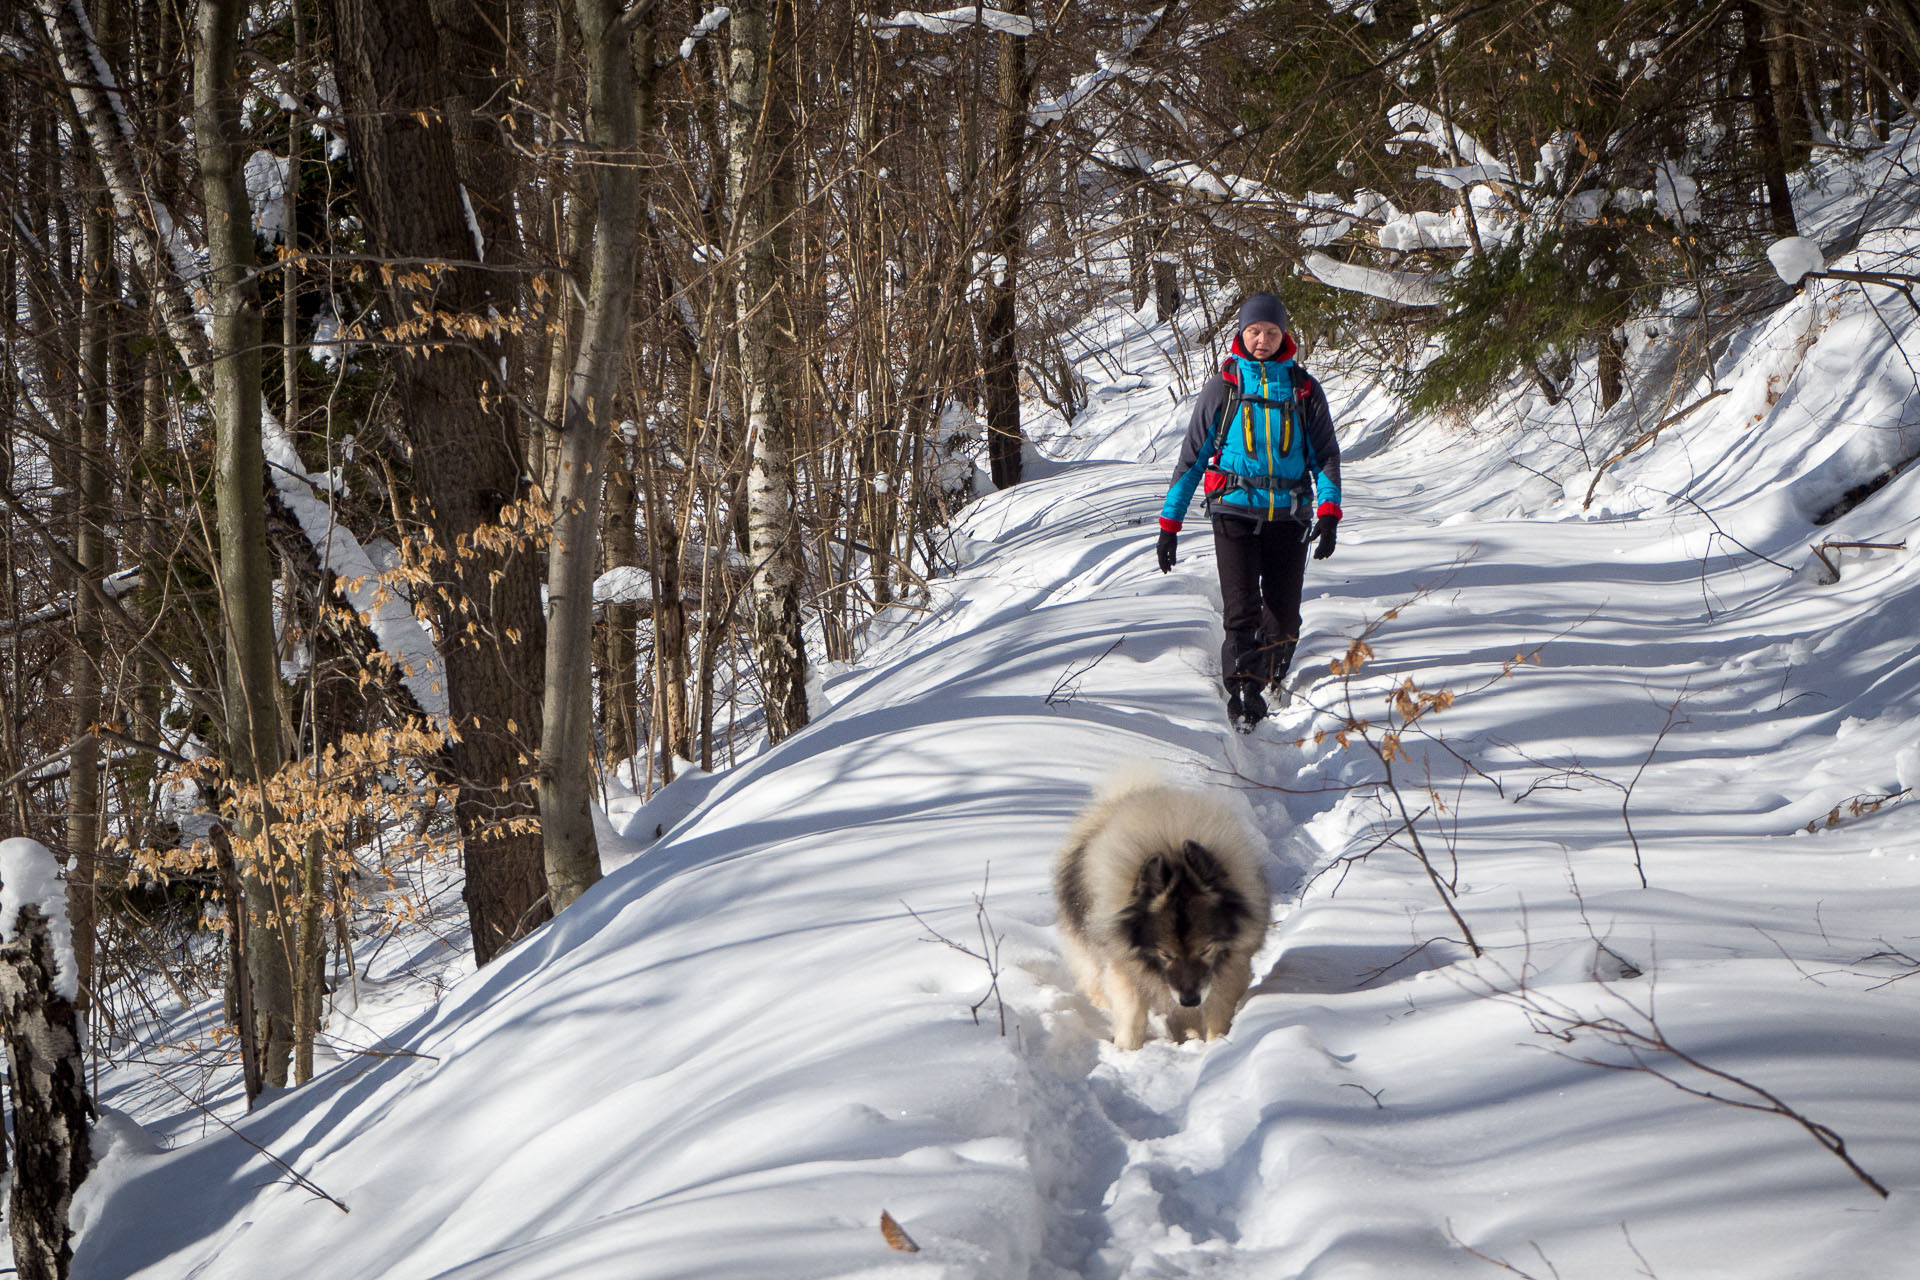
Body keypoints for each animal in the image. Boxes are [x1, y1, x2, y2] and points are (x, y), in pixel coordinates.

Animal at [1059, 771, 1267, 1051]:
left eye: (1205, 950)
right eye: (1165, 954)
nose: (1190, 1000)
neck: (1172, 851)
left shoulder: (1231, 966)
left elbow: (1218, 1009)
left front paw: (1218, 1044)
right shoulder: (1126, 964)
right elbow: (1132, 1013)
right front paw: (1127, 1049)